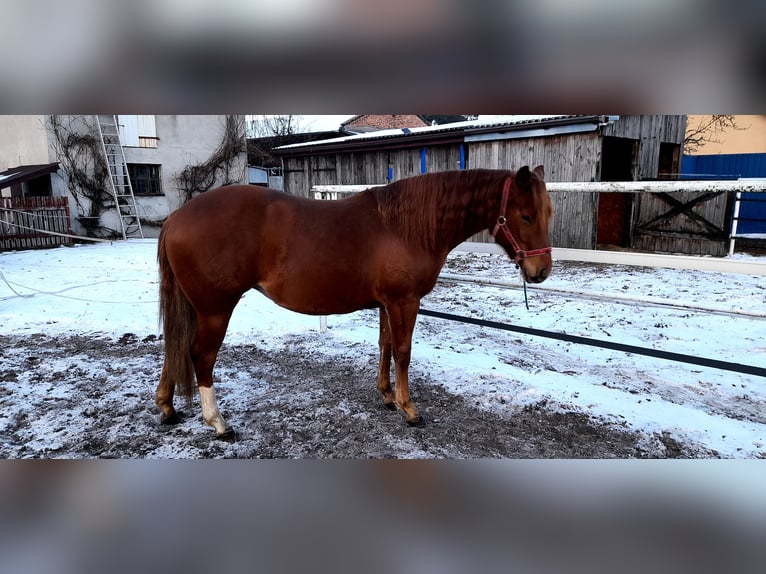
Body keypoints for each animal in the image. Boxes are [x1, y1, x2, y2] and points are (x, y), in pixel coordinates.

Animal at [156, 166, 553, 439]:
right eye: (526, 215)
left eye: (546, 213)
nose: (541, 271)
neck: (405, 226)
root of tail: (175, 217)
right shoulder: (404, 302)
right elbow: (403, 351)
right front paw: (410, 408)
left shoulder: (386, 303)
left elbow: (385, 345)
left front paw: (387, 396)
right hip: (215, 310)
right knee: (200, 357)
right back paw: (218, 423)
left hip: (195, 309)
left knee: (175, 348)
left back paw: (167, 407)